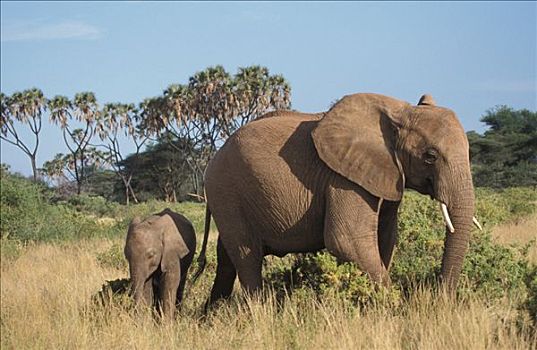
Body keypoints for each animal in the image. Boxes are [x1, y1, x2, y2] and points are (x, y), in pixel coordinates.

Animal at [195, 93, 480, 308]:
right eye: (430, 156)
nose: (439, 300)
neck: (401, 111)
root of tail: (213, 160)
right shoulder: (343, 179)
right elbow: (347, 240)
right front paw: (396, 309)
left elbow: (384, 239)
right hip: (227, 191)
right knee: (247, 256)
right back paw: (259, 314)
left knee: (227, 259)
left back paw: (210, 315)